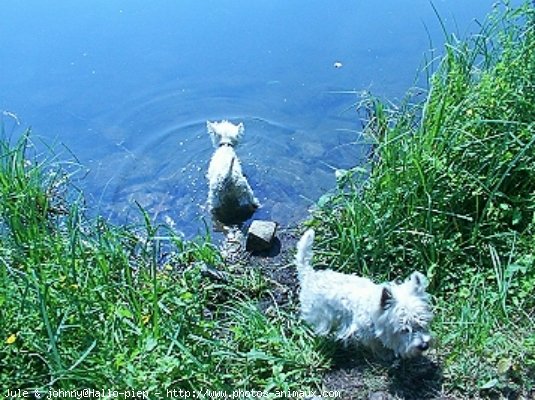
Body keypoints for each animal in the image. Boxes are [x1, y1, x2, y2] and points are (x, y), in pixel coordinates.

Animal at [296, 228, 434, 360]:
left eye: (423, 323)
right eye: (404, 329)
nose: (424, 346)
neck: (372, 310)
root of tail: (310, 275)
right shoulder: (365, 333)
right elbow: (376, 344)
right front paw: (386, 354)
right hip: (318, 313)